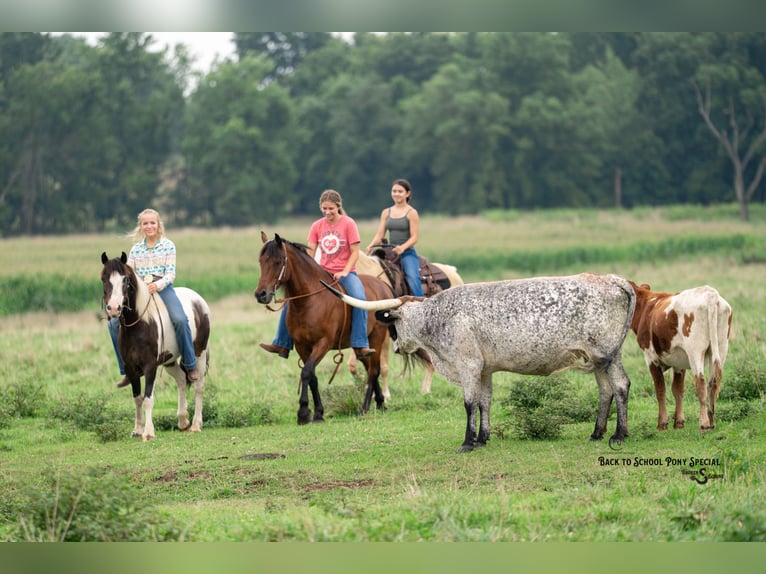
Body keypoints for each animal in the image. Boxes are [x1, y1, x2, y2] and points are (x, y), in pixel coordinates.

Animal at [100, 252, 211, 441]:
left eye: (125, 280)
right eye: (104, 279)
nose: (114, 309)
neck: (140, 324)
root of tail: (199, 300)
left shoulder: (150, 366)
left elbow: (148, 398)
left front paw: (149, 432)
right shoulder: (130, 368)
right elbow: (137, 398)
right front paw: (137, 430)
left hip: (199, 353)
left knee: (198, 386)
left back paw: (196, 424)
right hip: (169, 361)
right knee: (182, 380)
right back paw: (183, 421)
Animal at [254, 232, 392, 424]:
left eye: (278, 262)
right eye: (261, 261)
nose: (261, 294)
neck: (309, 302)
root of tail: (383, 285)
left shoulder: (323, 344)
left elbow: (306, 372)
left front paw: (303, 412)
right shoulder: (302, 346)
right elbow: (312, 376)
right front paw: (318, 413)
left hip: (377, 338)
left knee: (373, 371)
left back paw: (364, 408)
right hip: (361, 346)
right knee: (369, 366)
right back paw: (380, 403)